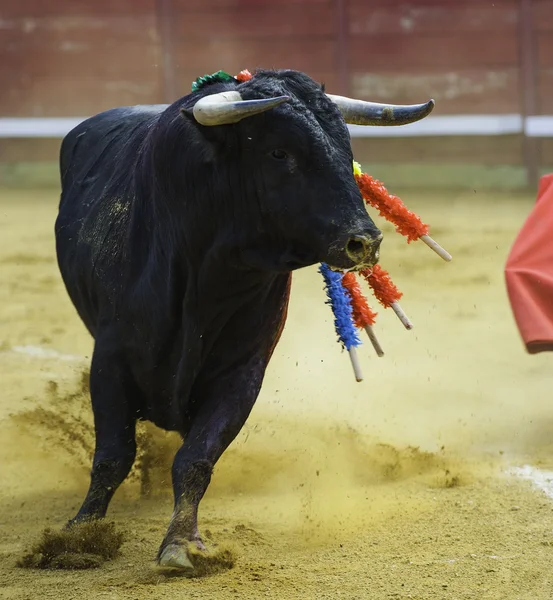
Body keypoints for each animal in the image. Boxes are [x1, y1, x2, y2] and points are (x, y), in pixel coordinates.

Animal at [54, 68, 434, 568]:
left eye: (347, 150)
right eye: (279, 152)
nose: (364, 242)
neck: (208, 269)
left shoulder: (242, 370)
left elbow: (196, 457)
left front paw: (182, 543)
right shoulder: (111, 358)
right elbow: (112, 455)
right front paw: (77, 536)